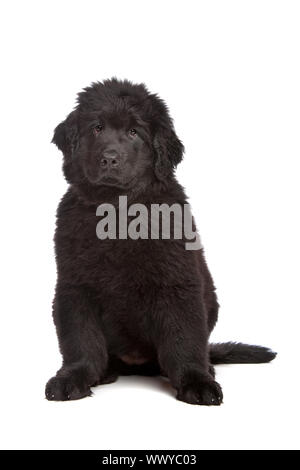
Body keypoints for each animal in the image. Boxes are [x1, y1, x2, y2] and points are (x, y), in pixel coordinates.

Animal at [45, 77, 276, 404]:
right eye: (97, 128)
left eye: (134, 132)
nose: (110, 159)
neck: (118, 214)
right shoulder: (75, 286)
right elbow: (80, 339)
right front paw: (74, 377)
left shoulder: (176, 282)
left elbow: (183, 340)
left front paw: (196, 381)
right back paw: (105, 372)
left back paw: (206, 368)